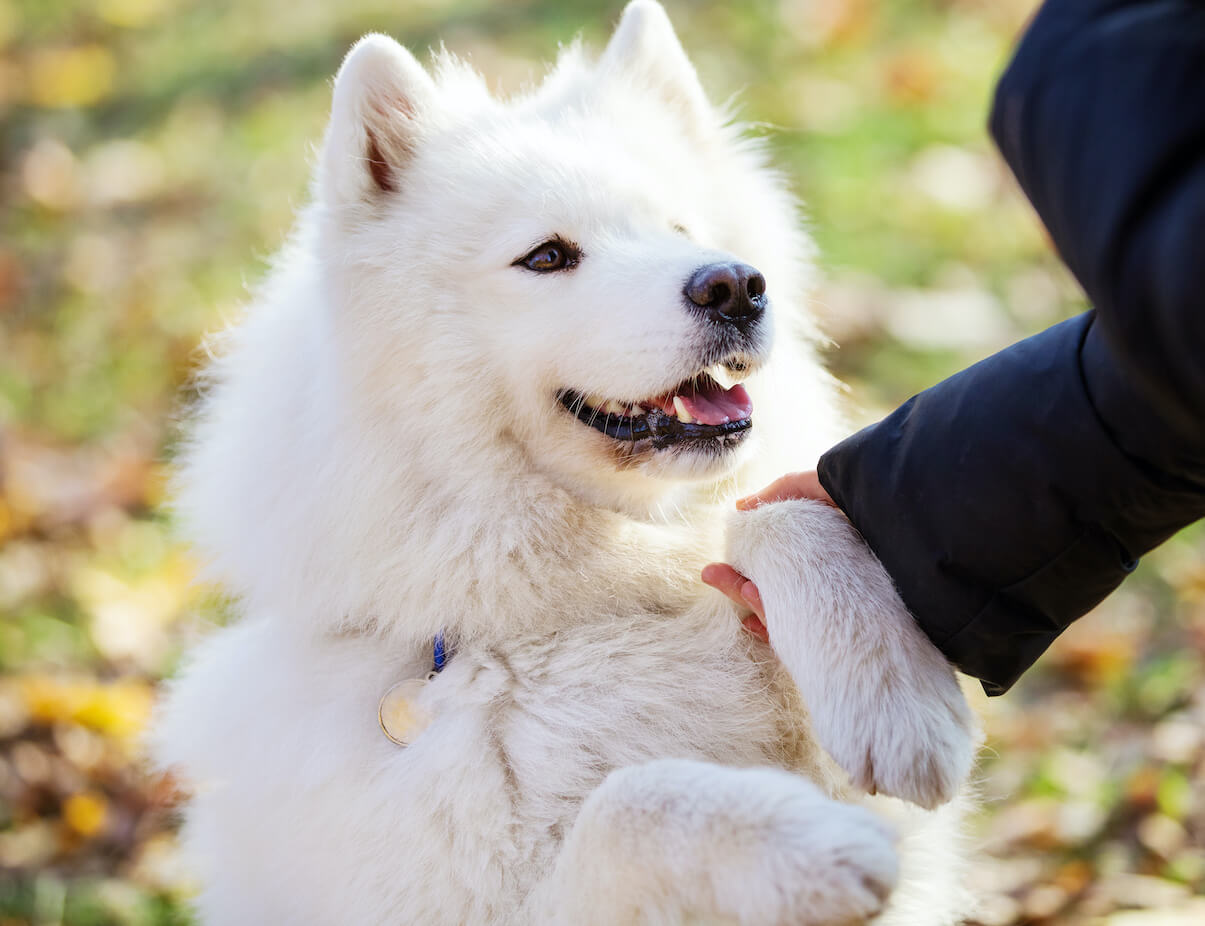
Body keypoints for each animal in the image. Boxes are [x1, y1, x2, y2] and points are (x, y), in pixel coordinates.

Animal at [153, 3, 978, 921]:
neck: (580, 612)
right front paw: (808, 840)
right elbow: (631, 800)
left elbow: (774, 515)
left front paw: (893, 701)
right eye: (546, 256)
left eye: (680, 231)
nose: (734, 285)